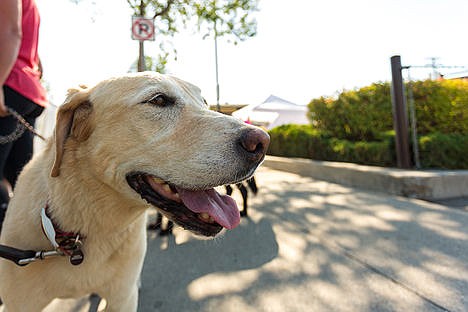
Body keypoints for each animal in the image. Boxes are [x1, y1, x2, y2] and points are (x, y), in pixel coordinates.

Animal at [0, 72, 268, 310]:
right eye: (159, 100)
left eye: (204, 102)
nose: (262, 143)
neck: (87, 229)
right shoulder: (20, 304)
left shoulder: (122, 299)